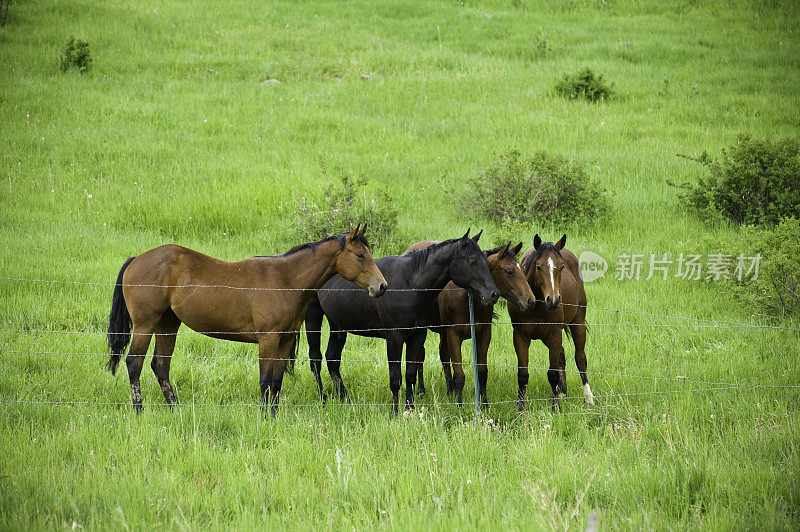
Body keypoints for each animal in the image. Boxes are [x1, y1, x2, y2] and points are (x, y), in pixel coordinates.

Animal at [106, 224, 388, 416]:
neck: (285, 280)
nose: (382, 286)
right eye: (360, 255)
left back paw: (176, 408)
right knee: (134, 363)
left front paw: (273, 415)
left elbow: (276, 381)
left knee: (160, 366)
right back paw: (139, 409)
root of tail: (136, 260)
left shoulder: (285, 340)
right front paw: (264, 416)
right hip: (145, 325)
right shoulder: (268, 339)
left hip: (168, 325)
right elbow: (265, 380)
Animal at [304, 231, 496, 414]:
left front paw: (410, 408)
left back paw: (345, 398)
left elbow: (410, 374)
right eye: (472, 261)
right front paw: (394, 412)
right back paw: (323, 398)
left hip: (337, 325)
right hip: (313, 316)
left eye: (485, 260)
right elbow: (395, 378)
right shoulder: (394, 337)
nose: (494, 294)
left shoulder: (417, 336)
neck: (410, 285)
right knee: (315, 359)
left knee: (332, 358)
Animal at [404, 239, 536, 406]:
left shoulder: (484, 333)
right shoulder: (454, 334)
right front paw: (459, 406)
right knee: (420, 357)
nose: (530, 300)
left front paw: (484, 404)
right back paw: (421, 391)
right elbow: (459, 375)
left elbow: (482, 372)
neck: (467, 296)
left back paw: (449, 391)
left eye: (522, 270)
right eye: (508, 271)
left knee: (443, 356)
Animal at [506, 235, 592, 414]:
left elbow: (552, 374)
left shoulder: (554, 335)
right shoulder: (520, 337)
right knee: (562, 356)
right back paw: (562, 393)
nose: (553, 300)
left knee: (580, 359)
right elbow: (522, 374)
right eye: (538, 267)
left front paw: (555, 408)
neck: (537, 304)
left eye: (561, 267)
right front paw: (521, 409)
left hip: (578, 323)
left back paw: (589, 399)